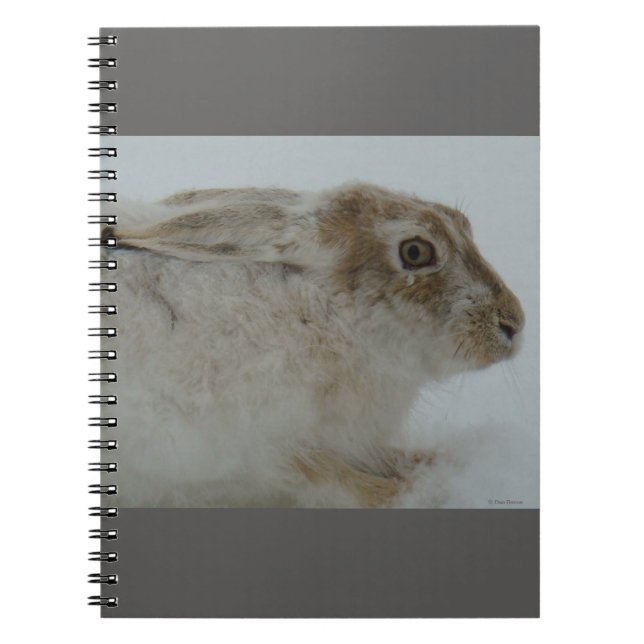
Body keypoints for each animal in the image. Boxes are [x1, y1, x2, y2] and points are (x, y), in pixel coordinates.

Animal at [102, 182, 524, 508]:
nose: (513, 325)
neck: (330, 312)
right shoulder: (272, 452)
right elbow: (349, 485)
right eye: (416, 252)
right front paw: (423, 490)